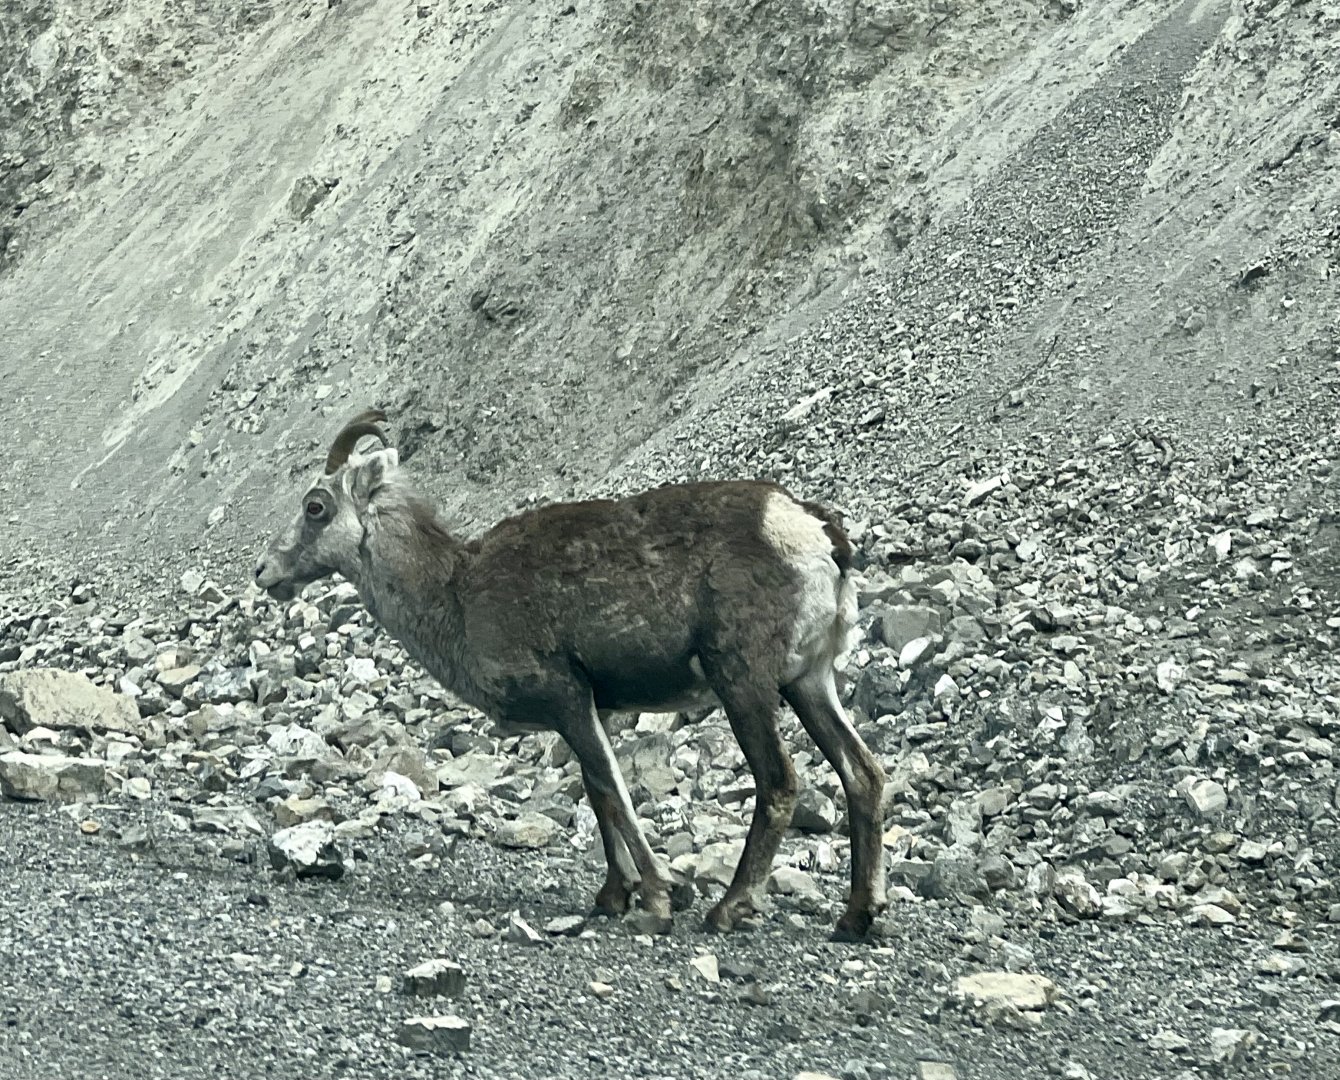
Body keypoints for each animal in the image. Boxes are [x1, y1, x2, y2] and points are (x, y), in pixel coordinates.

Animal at [255, 407, 888, 939]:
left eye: (316, 506)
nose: (265, 572)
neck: (457, 595)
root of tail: (814, 534)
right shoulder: (587, 710)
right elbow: (598, 793)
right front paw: (613, 897)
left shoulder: (567, 699)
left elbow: (611, 788)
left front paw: (658, 899)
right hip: (808, 682)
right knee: (863, 773)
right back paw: (856, 917)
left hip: (744, 683)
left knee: (780, 783)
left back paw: (727, 910)